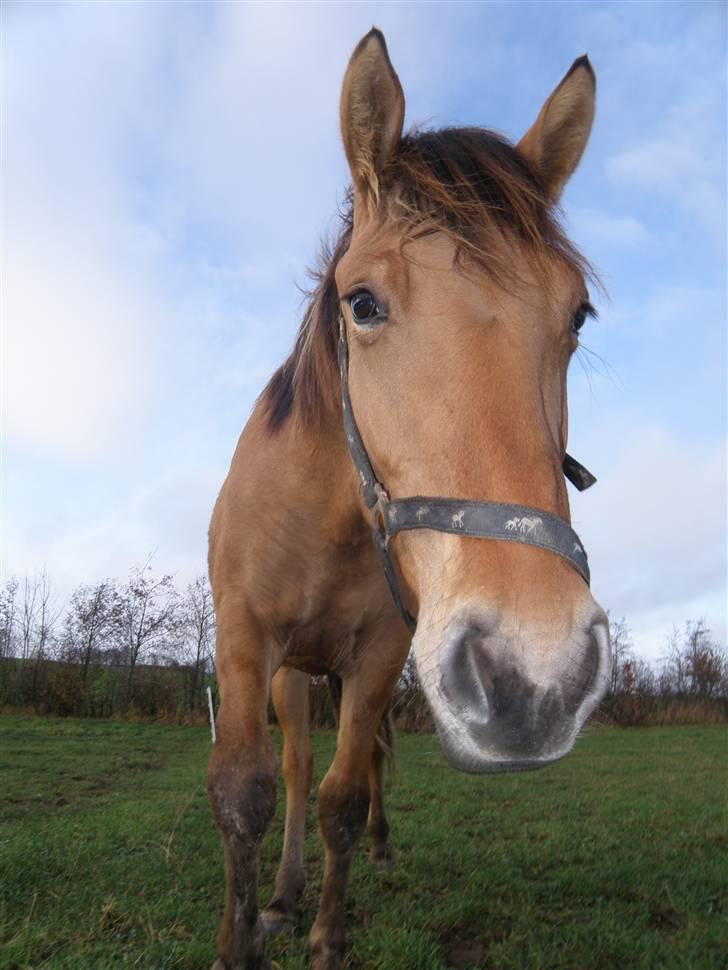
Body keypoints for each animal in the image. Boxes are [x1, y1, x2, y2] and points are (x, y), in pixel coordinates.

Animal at [208, 26, 612, 964]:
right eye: (362, 303)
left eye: (577, 317)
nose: (535, 674)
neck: (326, 514)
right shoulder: (244, 639)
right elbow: (247, 795)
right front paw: (247, 934)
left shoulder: (382, 653)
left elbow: (345, 797)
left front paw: (329, 937)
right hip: (292, 676)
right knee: (291, 769)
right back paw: (281, 895)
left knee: (361, 766)